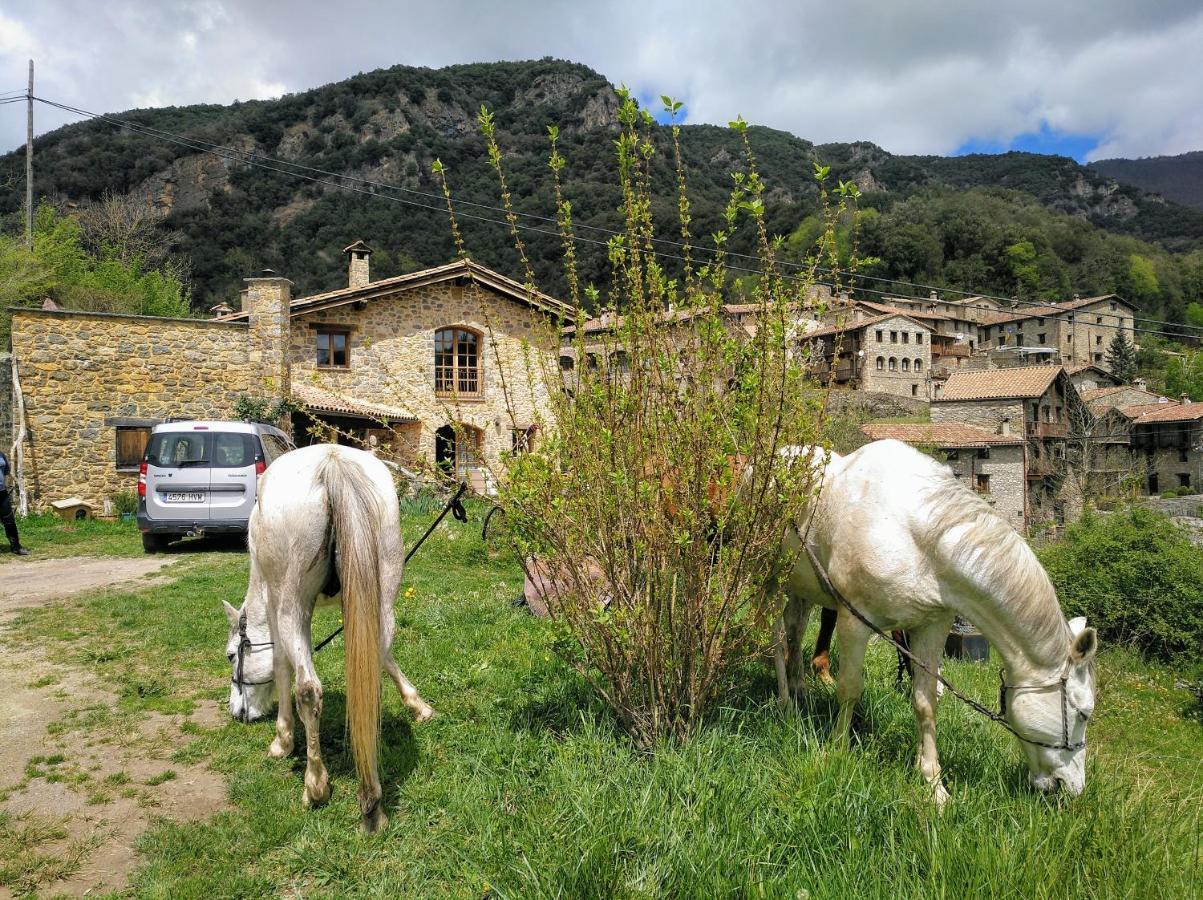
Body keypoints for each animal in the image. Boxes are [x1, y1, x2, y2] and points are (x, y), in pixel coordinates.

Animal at [223, 442, 435, 827]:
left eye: (232, 655)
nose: (237, 711)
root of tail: (332, 464)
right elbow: (385, 659)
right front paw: (418, 706)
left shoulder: (277, 606)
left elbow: (282, 667)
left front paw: (282, 741)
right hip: (381, 592)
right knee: (374, 664)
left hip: (292, 604)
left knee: (308, 689)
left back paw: (316, 785)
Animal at [774, 440, 1097, 803]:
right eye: (1083, 712)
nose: (1073, 788)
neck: (916, 537)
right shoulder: (854, 622)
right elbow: (850, 689)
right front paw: (838, 750)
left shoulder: (930, 627)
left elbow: (926, 702)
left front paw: (933, 784)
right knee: (775, 635)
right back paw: (785, 702)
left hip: (800, 587)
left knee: (794, 631)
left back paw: (799, 690)